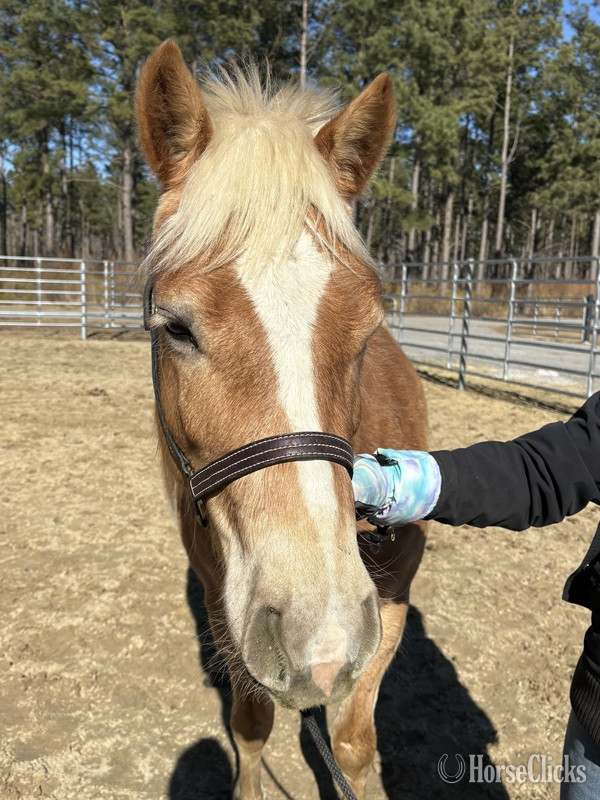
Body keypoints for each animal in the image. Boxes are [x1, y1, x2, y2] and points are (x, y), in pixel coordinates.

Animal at [136, 40, 428, 800]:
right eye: (176, 327)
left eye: (368, 328)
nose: (317, 639)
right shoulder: (227, 604)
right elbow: (250, 726)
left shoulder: (387, 605)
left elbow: (353, 743)